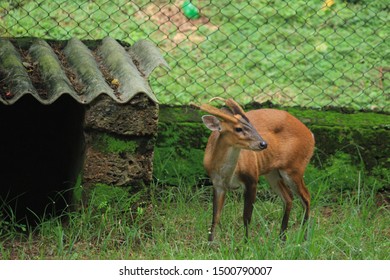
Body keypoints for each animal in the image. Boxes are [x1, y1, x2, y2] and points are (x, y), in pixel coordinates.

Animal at [193, 98, 316, 241]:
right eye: (238, 128)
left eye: (252, 126)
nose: (263, 144)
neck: (227, 174)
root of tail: (310, 134)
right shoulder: (217, 184)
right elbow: (215, 217)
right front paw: (209, 243)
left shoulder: (251, 179)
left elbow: (246, 217)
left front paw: (246, 243)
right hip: (272, 173)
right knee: (289, 197)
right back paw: (282, 238)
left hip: (294, 168)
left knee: (306, 197)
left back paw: (305, 238)